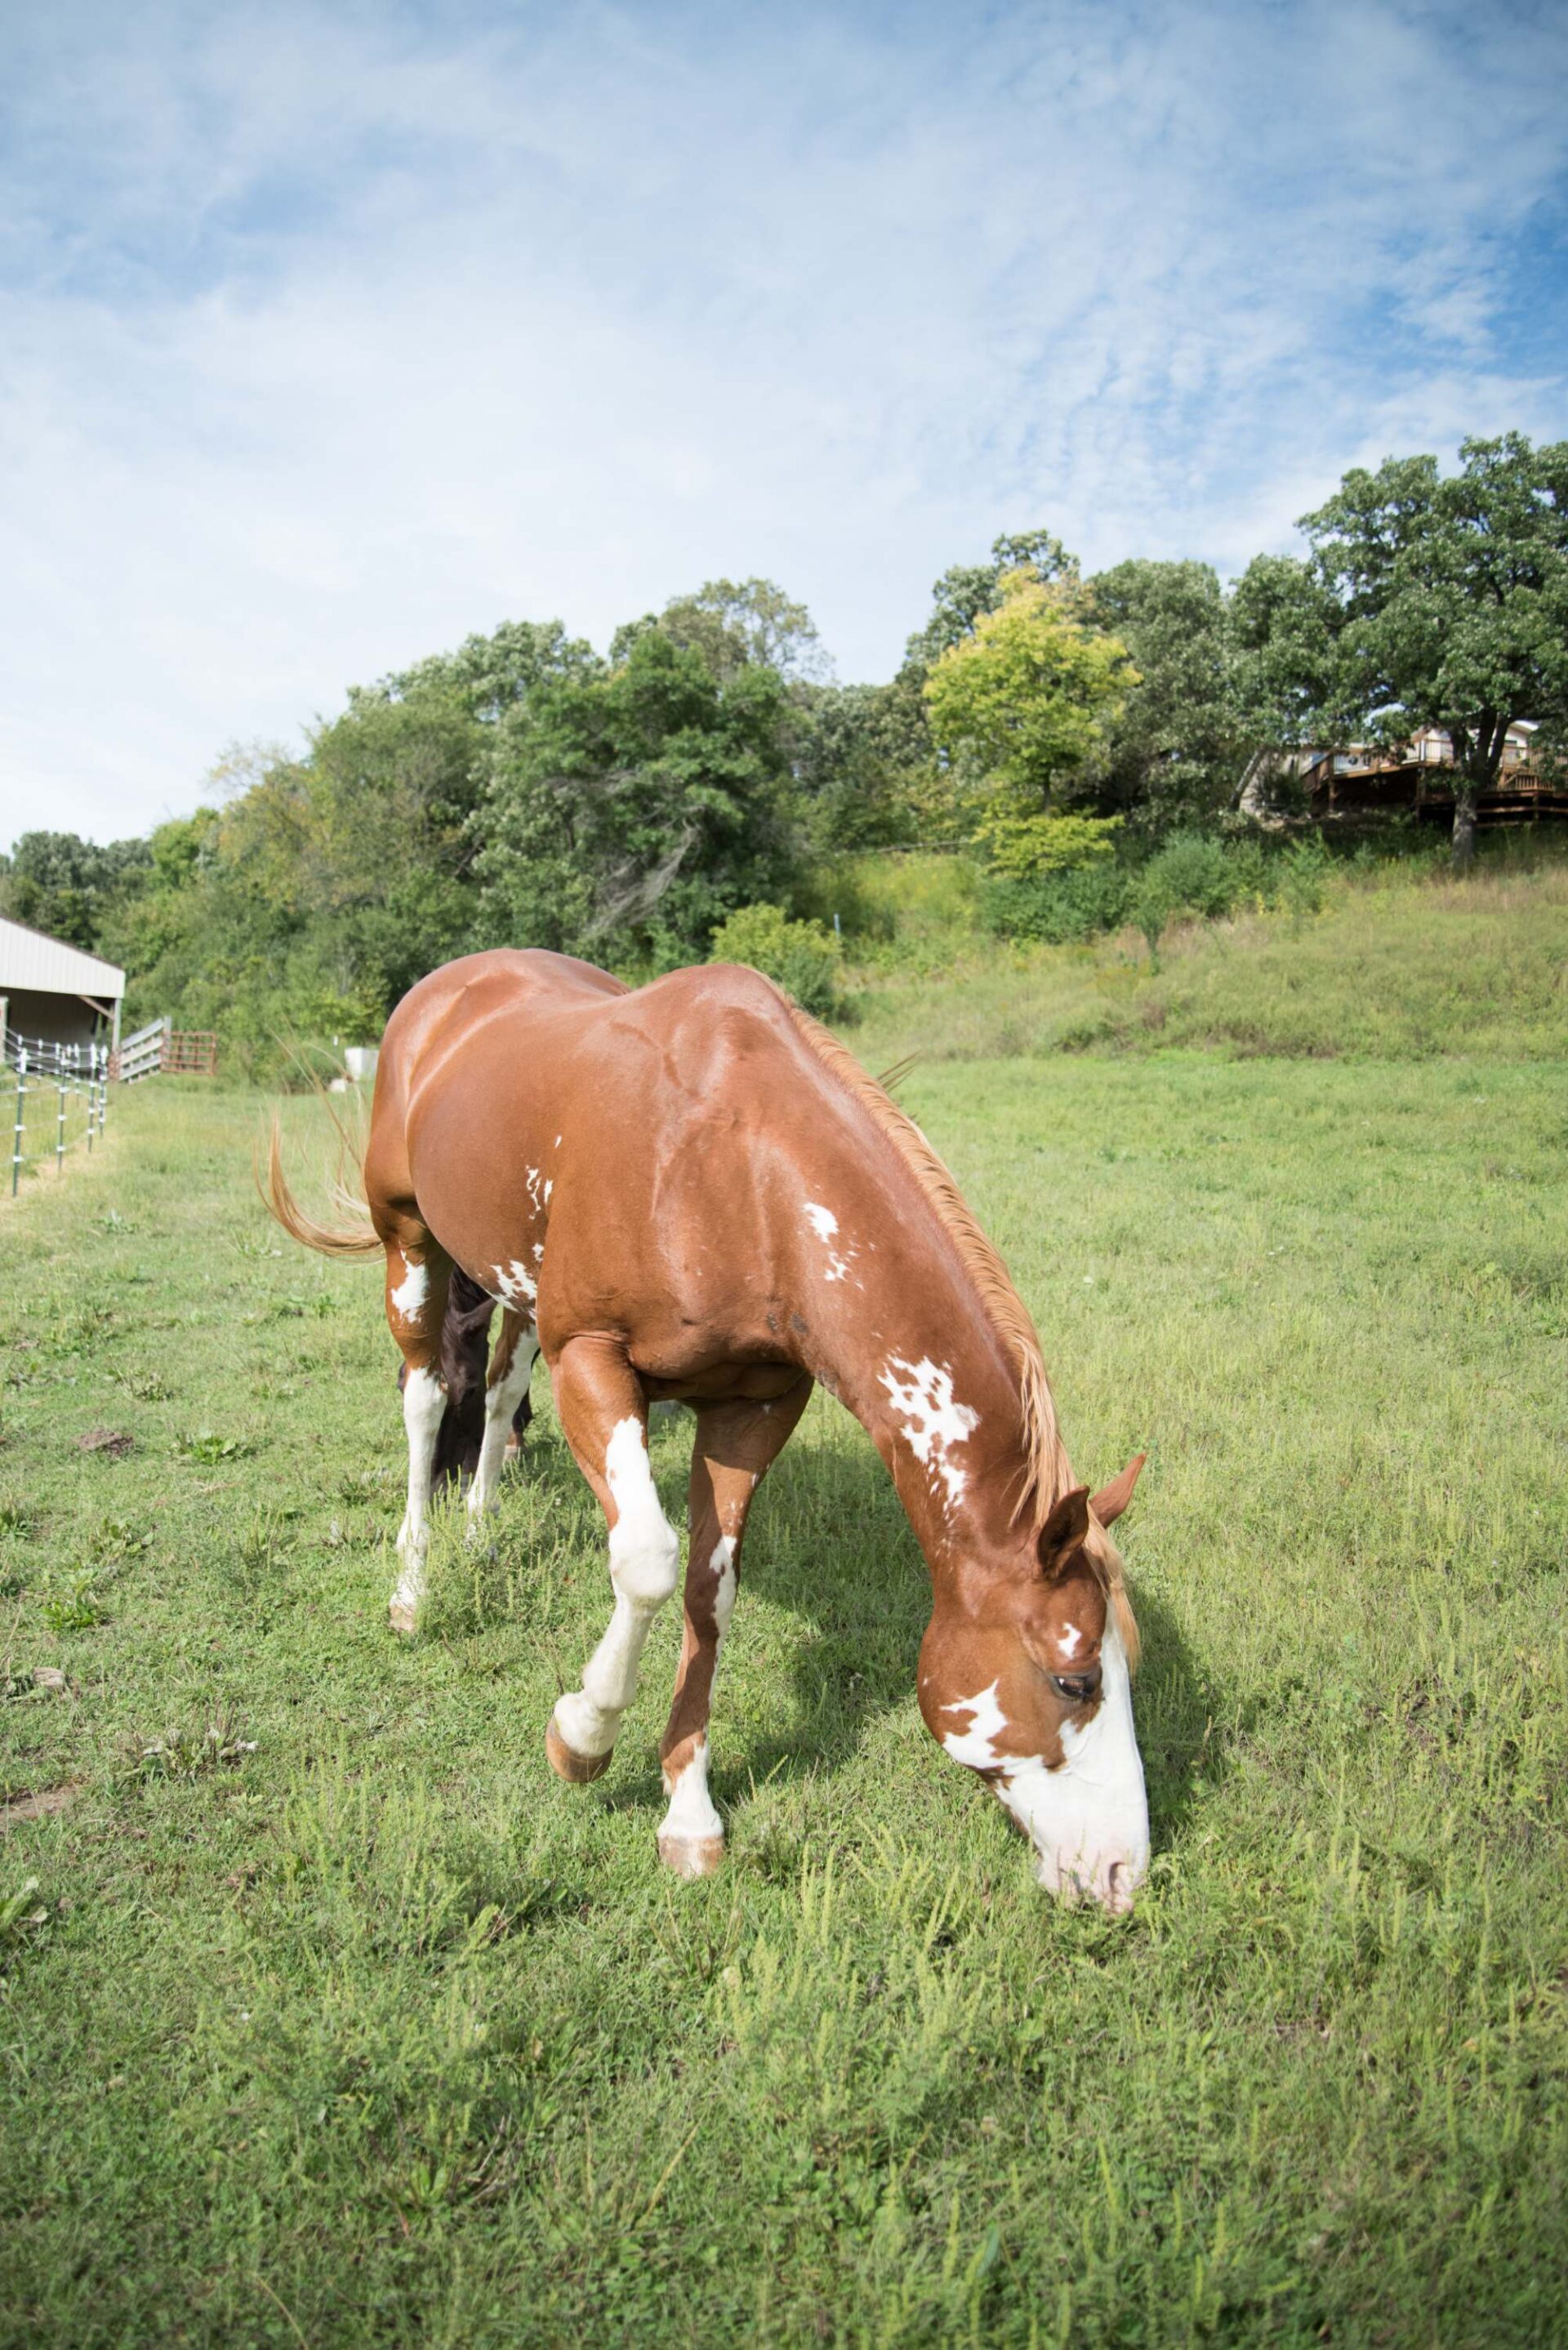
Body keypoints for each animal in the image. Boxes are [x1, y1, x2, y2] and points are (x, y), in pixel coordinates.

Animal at [270, 949, 1152, 1908]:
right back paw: (413, 1588)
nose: (1122, 1871)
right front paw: (581, 1737)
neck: (735, 1173)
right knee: (428, 1400)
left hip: (514, 1281)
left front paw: (689, 1812)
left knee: (501, 1394)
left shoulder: (752, 1409)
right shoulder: (592, 1360)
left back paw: (482, 1532)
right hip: (411, 1241)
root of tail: (447, 987)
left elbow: (708, 1593)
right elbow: (648, 1561)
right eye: (1074, 1679)